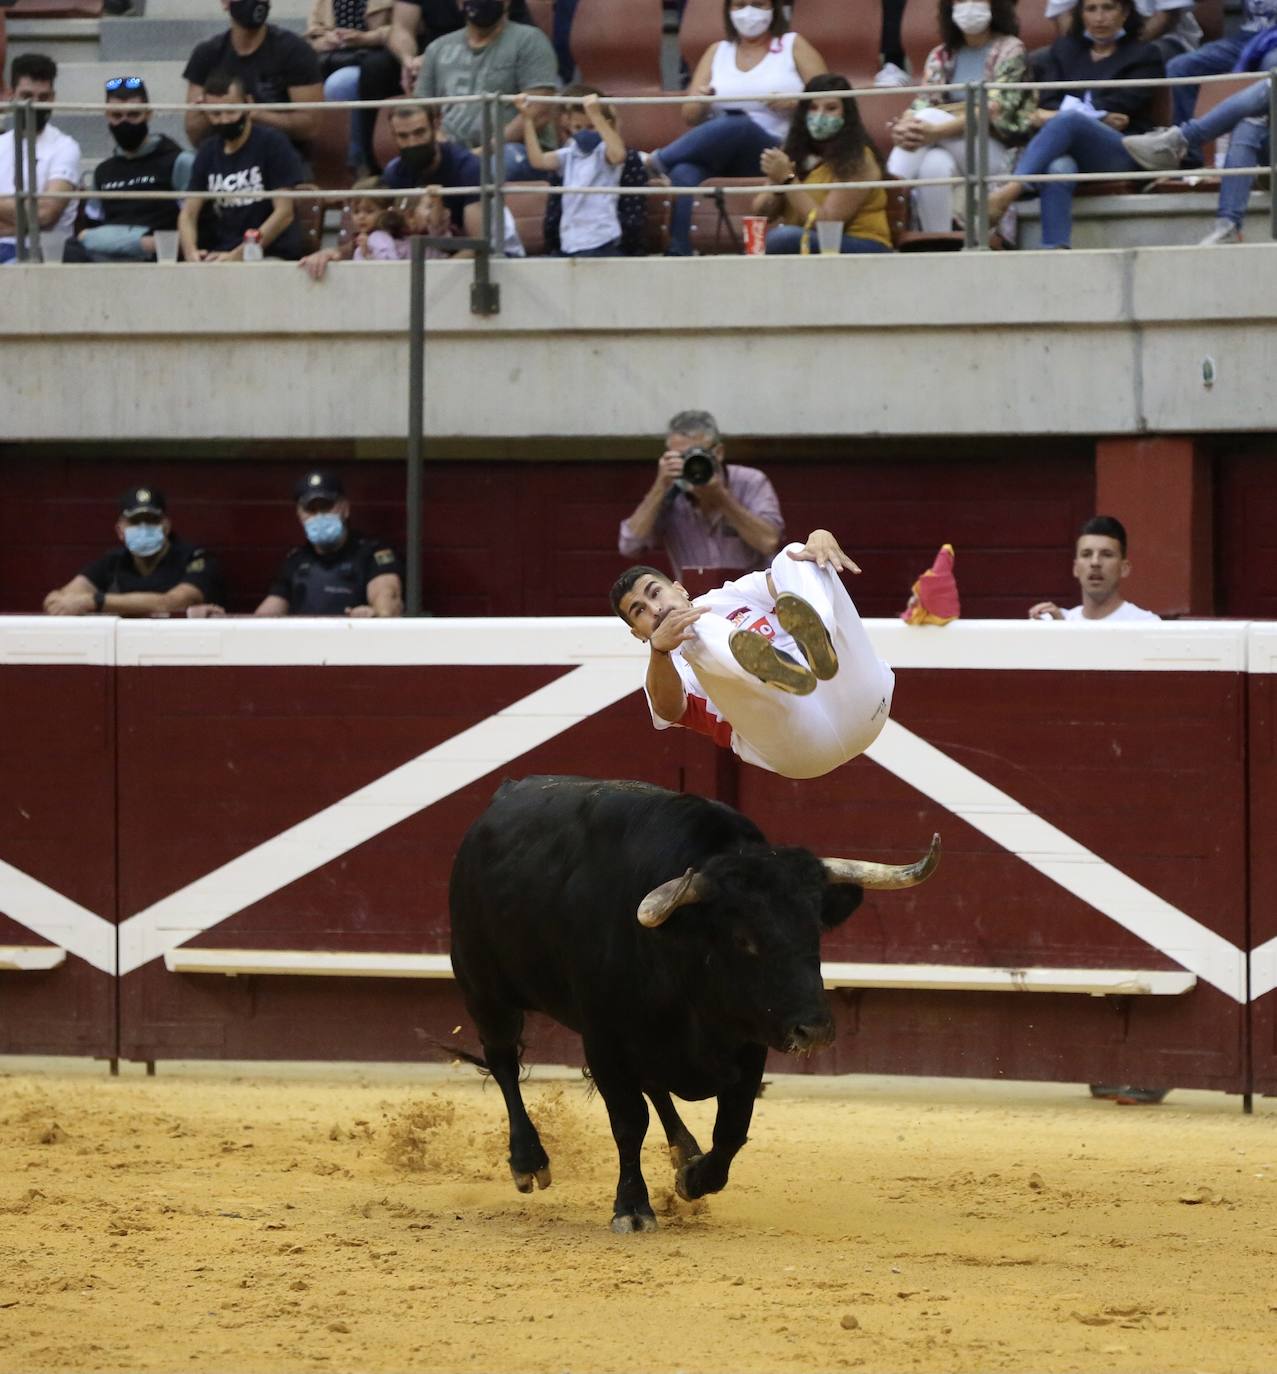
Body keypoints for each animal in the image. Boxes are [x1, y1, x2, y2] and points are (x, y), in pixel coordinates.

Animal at [448, 774, 934, 1236]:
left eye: (814, 930)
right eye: (743, 939)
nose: (814, 1031)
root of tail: (499, 801)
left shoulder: (749, 1043)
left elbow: (733, 1126)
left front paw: (693, 1177)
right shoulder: (604, 1040)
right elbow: (629, 1122)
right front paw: (632, 1208)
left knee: (654, 1086)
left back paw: (684, 1150)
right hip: (483, 989)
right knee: (504, 1064)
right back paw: (529, 1162)